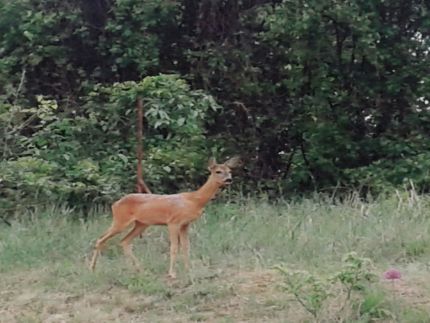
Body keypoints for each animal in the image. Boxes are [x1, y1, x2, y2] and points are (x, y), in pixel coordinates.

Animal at [89, 157, 240, 278]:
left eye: (230, 171)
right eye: (218, 171)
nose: (229, 179)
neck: (194, 200)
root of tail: (114, 204)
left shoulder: (185, 224)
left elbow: (186, 246)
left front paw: (188, 269)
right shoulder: (173, 222)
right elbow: (174, 247)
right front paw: (172, 273)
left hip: (141, 224)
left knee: (124, 241)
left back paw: (139, 269)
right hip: (121, 220)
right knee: (101, 239)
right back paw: (92, 268)